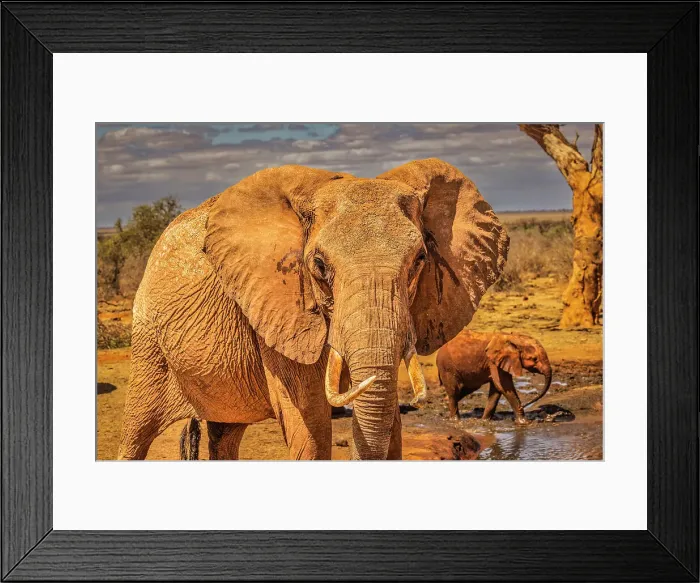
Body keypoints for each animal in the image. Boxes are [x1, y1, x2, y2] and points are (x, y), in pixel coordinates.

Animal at [117, 158, 508, 460]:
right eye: (318, 265)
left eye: (420, 260)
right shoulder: (281, 312)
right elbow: (312, 425)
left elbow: (388, 422)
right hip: (147, 337)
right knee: (136, 431)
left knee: (224, 433)